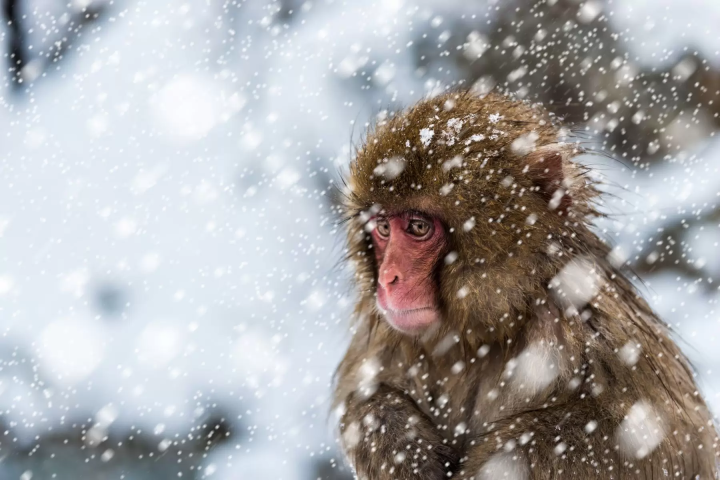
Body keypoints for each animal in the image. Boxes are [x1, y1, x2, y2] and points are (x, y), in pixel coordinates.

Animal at [332, 90, 719, 480]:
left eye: (418, 227)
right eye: (383, 228)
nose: (388, 278)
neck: (485, 330)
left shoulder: (597, 328)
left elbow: (657, 440)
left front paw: (504, 454)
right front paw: (395, 436)